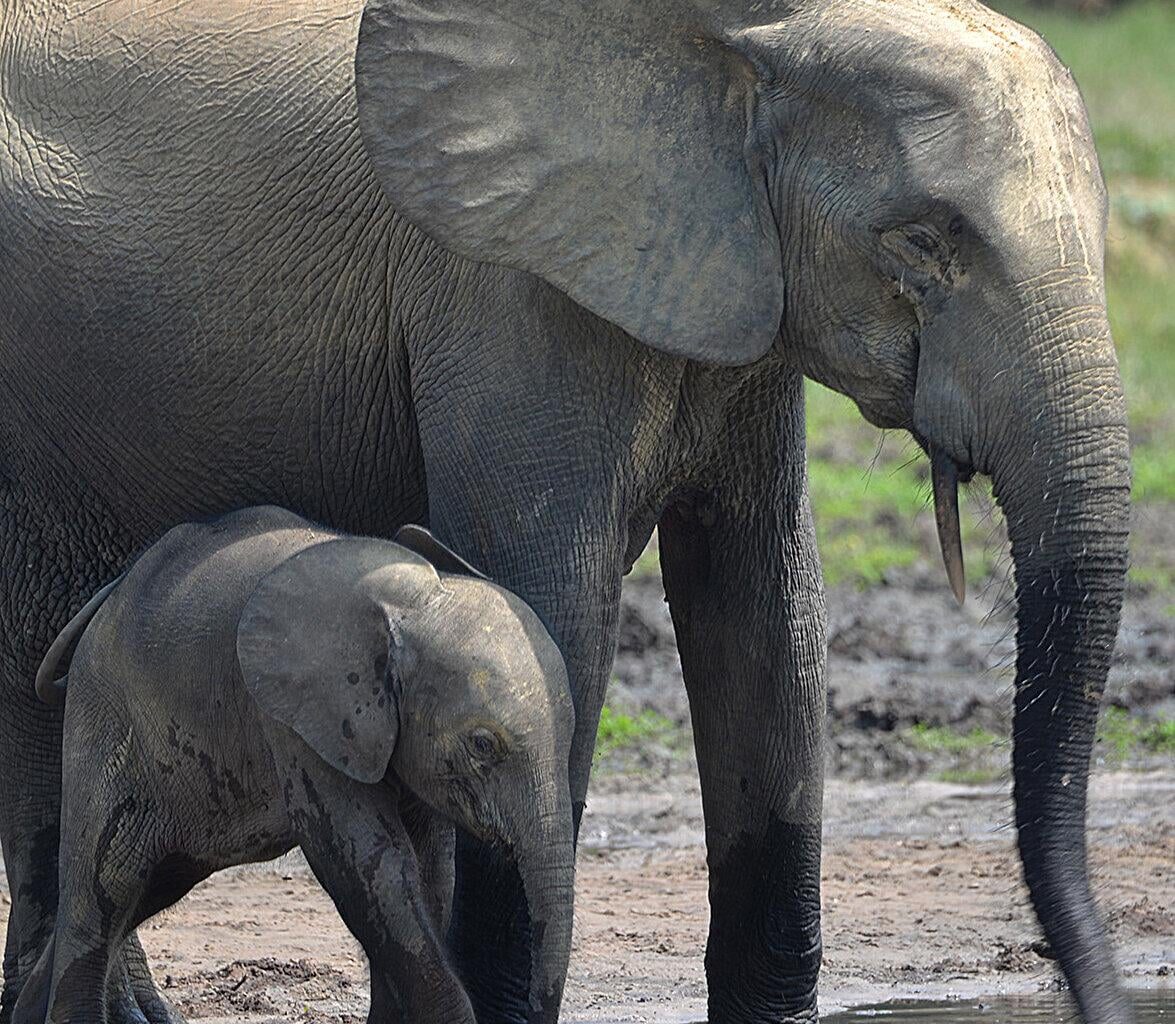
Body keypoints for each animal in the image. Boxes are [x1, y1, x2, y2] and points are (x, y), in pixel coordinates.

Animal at [12, 506, 575, 1024]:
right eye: (482, 745)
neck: (411, 603)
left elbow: (429, 871)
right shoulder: (297, 720)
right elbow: (368, 863)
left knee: (145, 886)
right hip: (103, 715)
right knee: (102, 891)